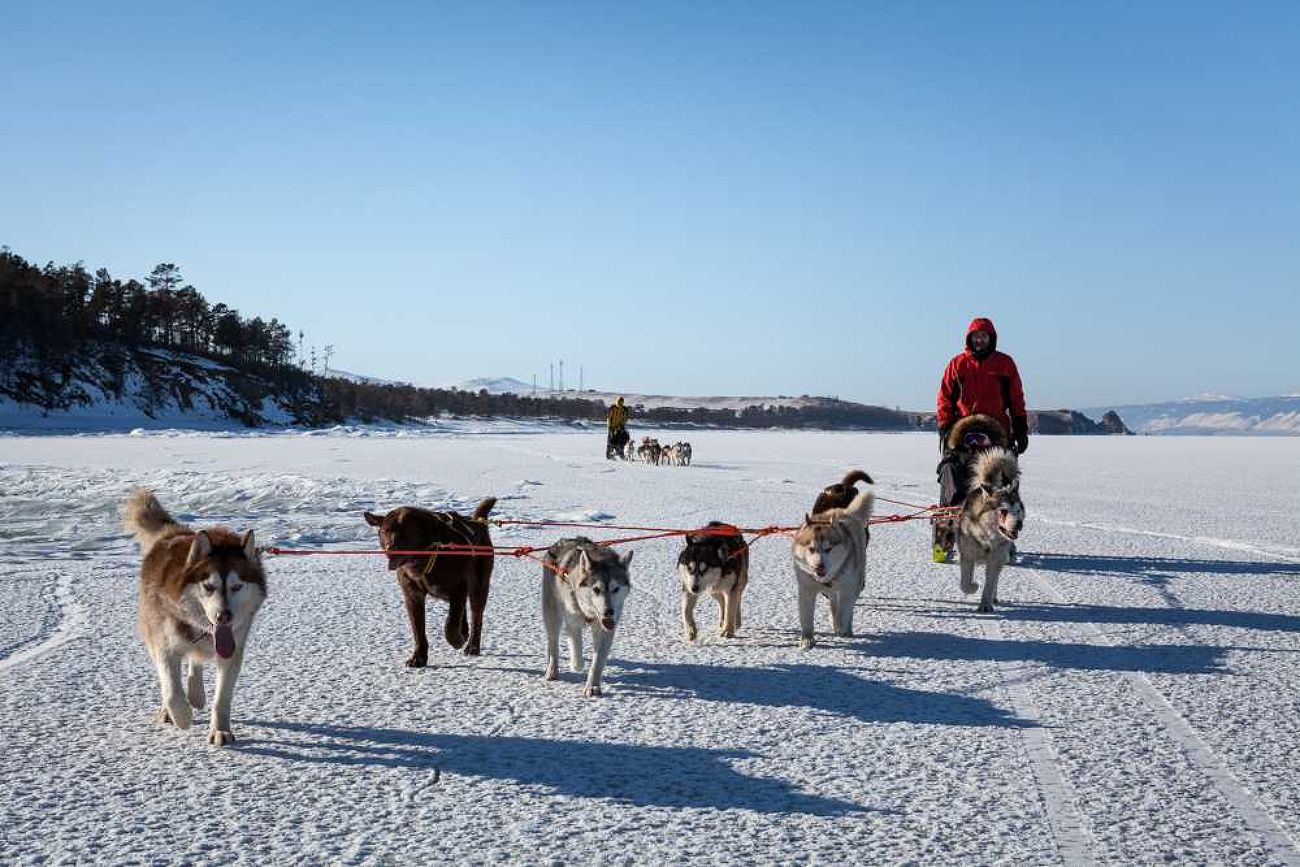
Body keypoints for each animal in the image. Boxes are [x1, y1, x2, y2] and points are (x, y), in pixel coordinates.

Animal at [127, 488, 269, 748]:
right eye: (209, 586)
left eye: (237, 586)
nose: (224, 616)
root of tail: (175, 533)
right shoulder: (164, 644)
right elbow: (172, 691)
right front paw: (182, 717)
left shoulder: (232, 650)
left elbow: (221, 698)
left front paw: (220, 730)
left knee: (195, 661)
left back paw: (196, 693)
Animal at [366, 499, 496, 670]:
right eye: (386, 531)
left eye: (405, 532)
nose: (390, 549)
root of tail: (478, 522)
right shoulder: (413, 596)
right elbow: (418, 631)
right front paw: (419, 657)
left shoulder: (458, 588)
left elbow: (451, 622)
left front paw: (456, 640)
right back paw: (464, 631)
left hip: (478, 587)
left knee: (476, 616)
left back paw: (472, 645)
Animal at [540, 535, 631, 696]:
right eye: (596, 589)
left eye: (615, 589)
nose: (609, 611)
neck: (590, 612)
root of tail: (561, 541)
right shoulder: (573, 621)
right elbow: (576, 647)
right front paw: (577, 665)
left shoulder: (605, 630)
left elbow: (597, 661)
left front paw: (593, 686)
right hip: (552, 614)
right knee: (553, 643)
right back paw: (552, 670)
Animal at [790, 486, 873, 647]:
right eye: (811, 549)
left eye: (828, 549)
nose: (819, 566)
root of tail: (845, 512)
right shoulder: (807, 589)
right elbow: (806, 617)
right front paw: (807, 639)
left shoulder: (847, 589)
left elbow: (844, 611)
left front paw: (842, 629)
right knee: (834, 604)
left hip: (856, 583)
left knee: (846, 610)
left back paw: (846, 629)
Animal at [956, 452, 1024, 613]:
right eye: (1003, 511)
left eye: (1018, 510)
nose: (1019, 523)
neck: (987, 539)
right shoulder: (967, 557)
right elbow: (965, 583)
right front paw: (974, 587)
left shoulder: (995, 560)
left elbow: (990, 584)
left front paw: (985, 605)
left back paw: (993, 597)